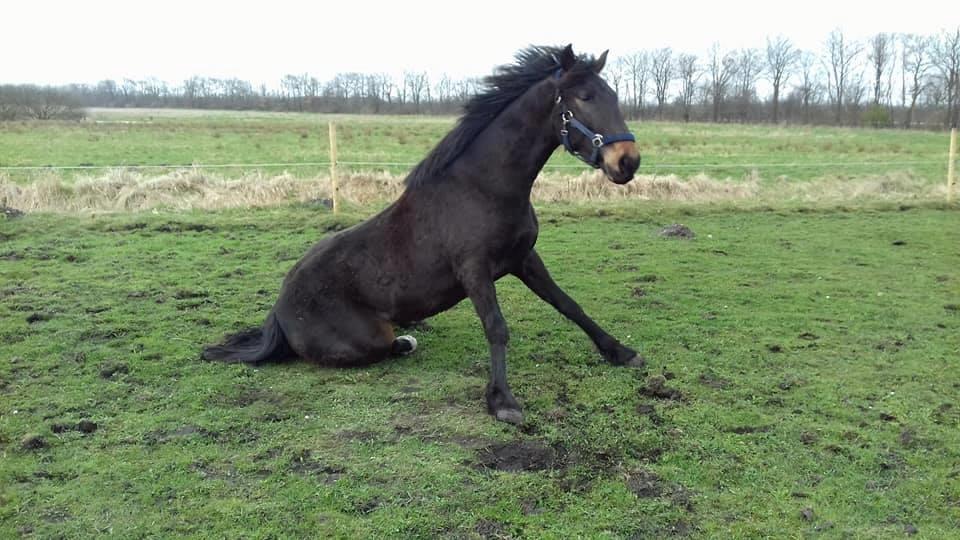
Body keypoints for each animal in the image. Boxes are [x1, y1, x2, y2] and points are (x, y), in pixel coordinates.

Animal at [203, 44, 643, 424]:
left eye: (613, 95)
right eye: (583, 97)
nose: (628, 162)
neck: (484, 188)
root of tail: (280, 306)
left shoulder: (524, 259)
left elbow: (569, 305)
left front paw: (620, 352)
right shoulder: (474, 270)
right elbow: (497, 327)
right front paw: (502, 402)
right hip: (366, 337)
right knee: (368, 348)